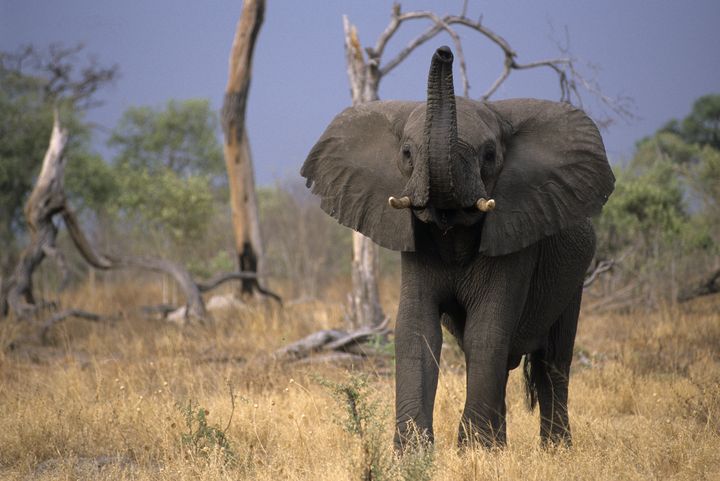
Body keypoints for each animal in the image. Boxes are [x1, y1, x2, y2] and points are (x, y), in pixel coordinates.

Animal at [298, 47, 612, 448]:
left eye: (490, 155)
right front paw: (415, 451)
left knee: (552, 361)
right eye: (406, 153)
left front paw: (472, 450)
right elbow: (416, 330)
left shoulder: (514, 237)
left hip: (573, 278)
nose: (444, 51)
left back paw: (555, 450)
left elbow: (487, 331)